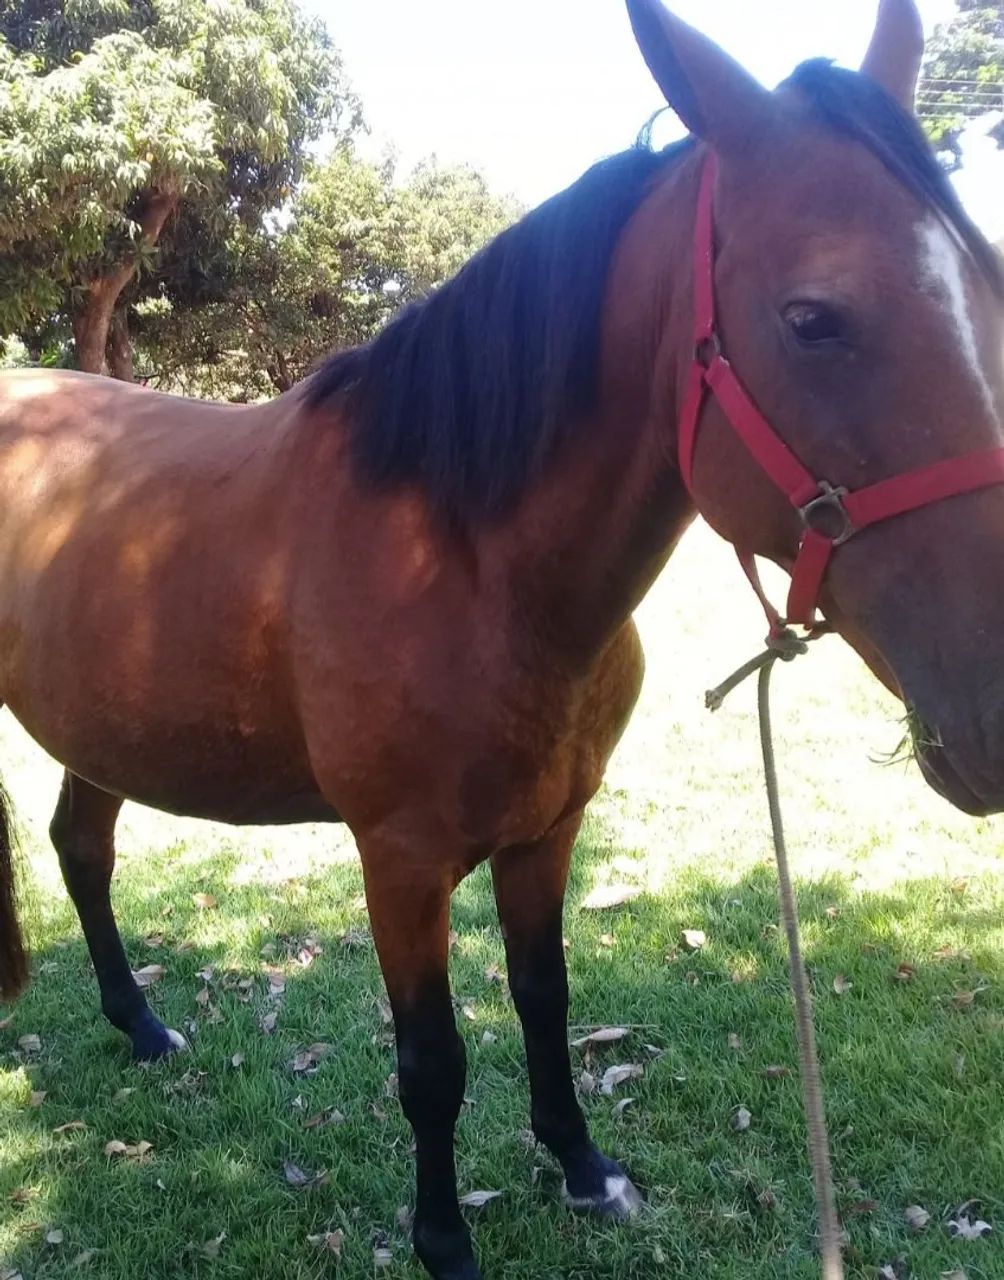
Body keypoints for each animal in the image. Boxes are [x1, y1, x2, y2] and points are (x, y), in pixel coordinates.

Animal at [1, 0, 1003, 1275]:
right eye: (811, 319)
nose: (994, 716)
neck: (469, 561)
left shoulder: (547, 828)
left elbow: (543, 995)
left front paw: (579, 1165)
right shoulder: (400, 861)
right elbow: (431, 1061)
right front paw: (443, 1235)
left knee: (81, 848)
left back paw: (141, 1025)